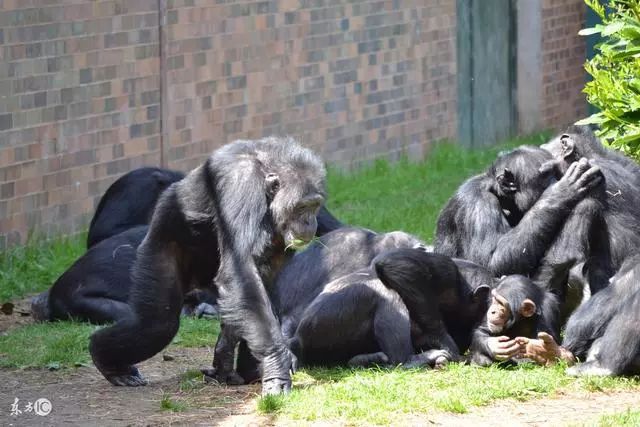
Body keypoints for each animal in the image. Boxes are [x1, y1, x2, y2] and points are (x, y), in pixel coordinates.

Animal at [89, 136, 328, 394]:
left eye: (315, 206)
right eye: (302, 207)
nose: (310, 221)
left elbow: (254, 280)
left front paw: (224, 356)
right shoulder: (241, 185)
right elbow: (242, 272)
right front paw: (276, 365)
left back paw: (247, 371)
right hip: (159, 243)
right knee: (157, 325)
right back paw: (108, 361)